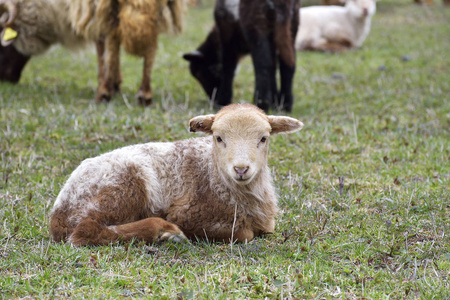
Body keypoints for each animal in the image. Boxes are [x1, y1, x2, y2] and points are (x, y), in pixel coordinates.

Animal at [0, 0, 185, 105]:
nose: (5, 79)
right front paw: (116, 83)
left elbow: (102, 43)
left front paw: (107, 84)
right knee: (152, 41)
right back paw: (144, 94)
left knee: (112, 33)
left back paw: (106, 93)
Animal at [48, 103, 302, 246]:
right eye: (218, 138)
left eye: (263, 138)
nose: (241, 169)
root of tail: (57, 212)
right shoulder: (187, 214)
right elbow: (244, 234)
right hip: (122, 186)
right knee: (85, 231)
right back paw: (164, 232)